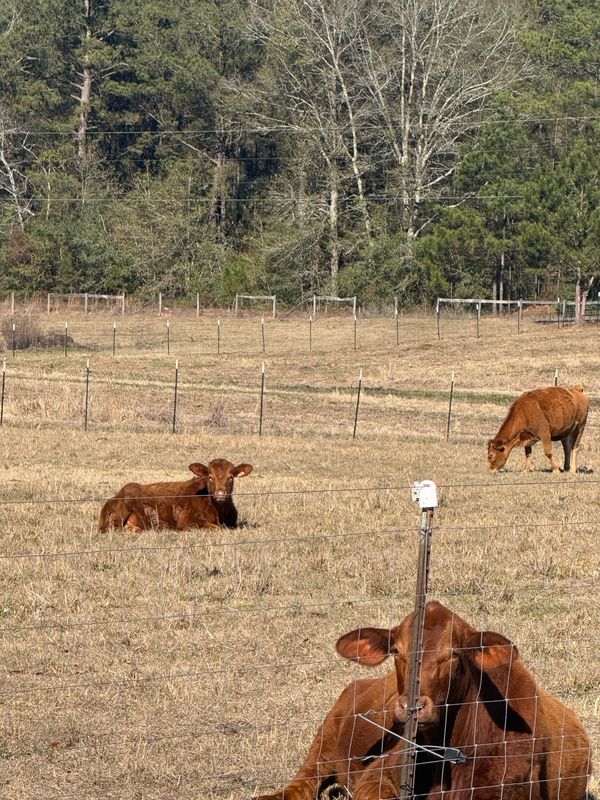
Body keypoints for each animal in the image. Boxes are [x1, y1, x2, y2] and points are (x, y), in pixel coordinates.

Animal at [98, 459, 253, 532]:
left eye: (231, 477)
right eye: (210, 477)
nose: (220, 494)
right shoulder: (185, 521)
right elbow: (218, 528)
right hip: (129, 493)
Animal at [256, 601, 591, 800]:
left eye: (454, 654)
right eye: (398, 651)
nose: (412, 706)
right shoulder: (378, 773)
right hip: (324, 739)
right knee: (301, 785)